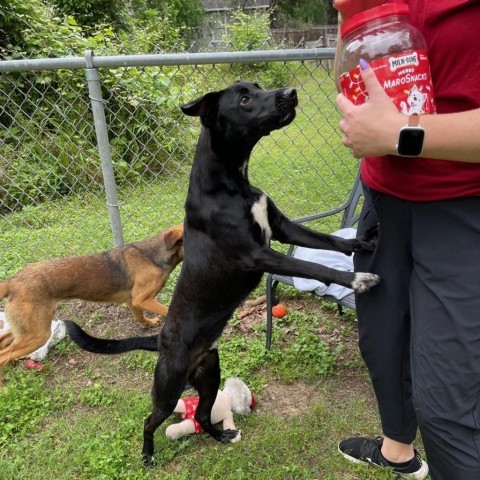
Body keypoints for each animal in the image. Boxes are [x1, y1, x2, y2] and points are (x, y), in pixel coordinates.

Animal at [65, 81, 380, 464]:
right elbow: (313, 265)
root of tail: (161, 339)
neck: (231, 184)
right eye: (243, 99)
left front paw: (363, 243)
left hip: (210, 376)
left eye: (257, 88)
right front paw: (358, 279)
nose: (289, 93)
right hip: (168, 388)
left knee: (202, 414)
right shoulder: (258, 255)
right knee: (149, 420)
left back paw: (220, 435)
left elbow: (330, 240)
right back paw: (148, 454)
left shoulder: (283, 228)